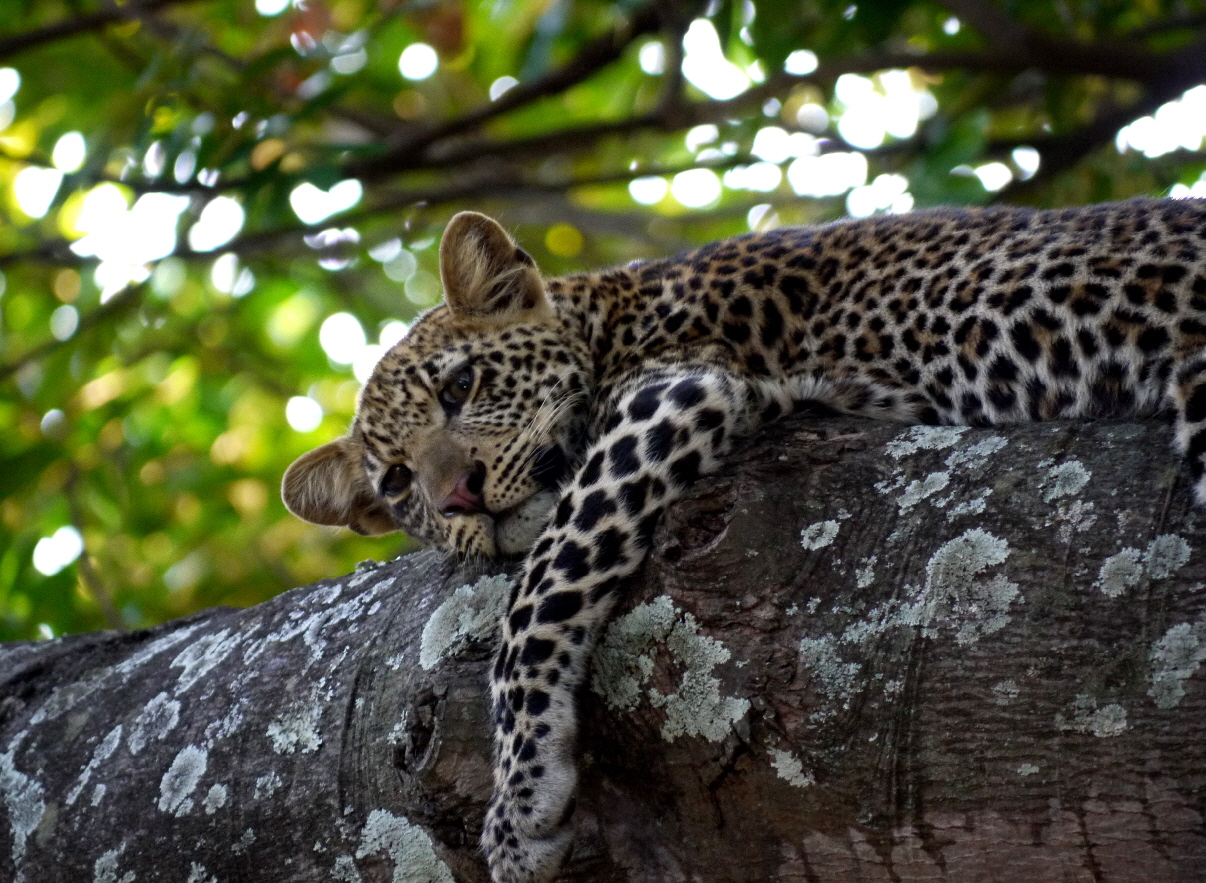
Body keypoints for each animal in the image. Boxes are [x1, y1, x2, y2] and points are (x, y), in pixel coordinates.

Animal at [282, 198, 1206, 883]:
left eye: (462, 385)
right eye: (396, 483)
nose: (459, 493)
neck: (609, 316)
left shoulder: (675, 389)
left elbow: (538, 591)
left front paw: (520, 798)